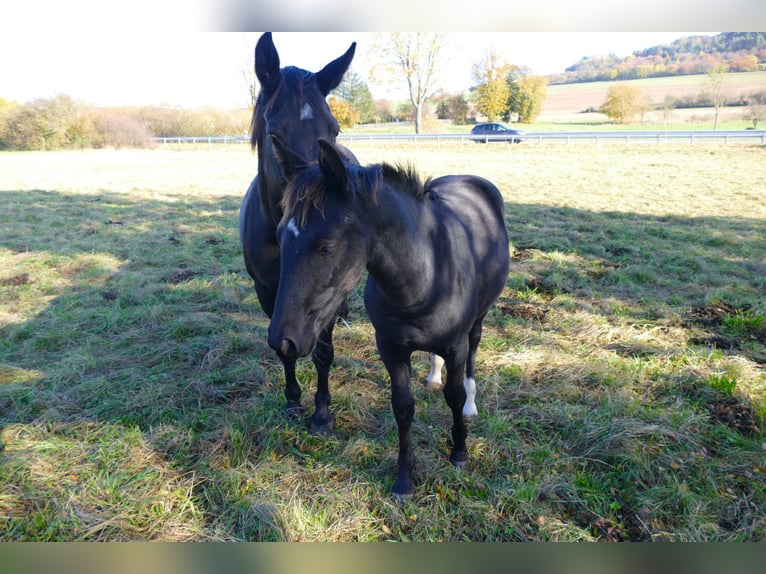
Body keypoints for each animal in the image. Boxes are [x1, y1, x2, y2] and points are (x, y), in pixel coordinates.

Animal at [240, 32, 356, 436]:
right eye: (274, 133)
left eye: (334, 130)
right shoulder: (266, 290)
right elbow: (281, 348)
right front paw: (292, 400)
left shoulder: (323, 291)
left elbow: (322, 351)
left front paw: (321, 413)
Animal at [268, 140, 512, 500]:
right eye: (280, 235)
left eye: (326, 246)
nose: (281, 340)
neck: (429, 272)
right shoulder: (392, 349)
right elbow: (403, 408)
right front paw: (404, 479)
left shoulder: (455, 346)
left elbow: (452, 396)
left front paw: (459, 452)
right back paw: (433, 377)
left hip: (479, 319)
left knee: (474, 347)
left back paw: (470, 404)